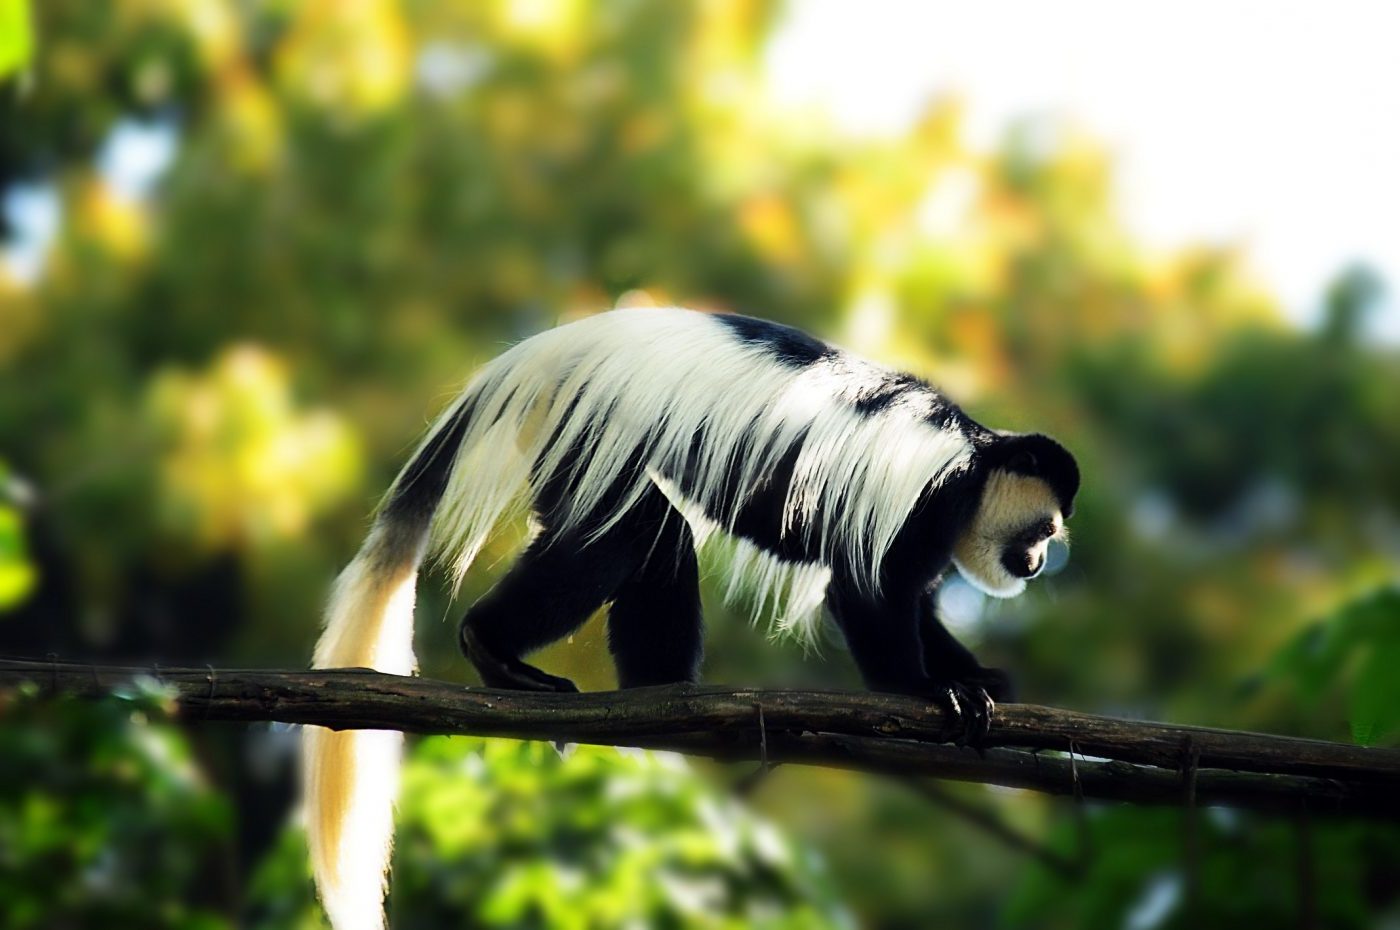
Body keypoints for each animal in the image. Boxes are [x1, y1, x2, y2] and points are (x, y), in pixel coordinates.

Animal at [301, 306, 1075, 930]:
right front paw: (925, 693)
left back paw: (669, 699)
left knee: (653, 538)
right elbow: (871, 593)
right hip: (597, 421)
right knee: (620, 536)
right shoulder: (917, 495)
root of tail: (548, 348)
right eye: (1042, 527)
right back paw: (496, 651)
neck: (975, 462)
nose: (1038, 562)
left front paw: (981, 682)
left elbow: (919, 607)